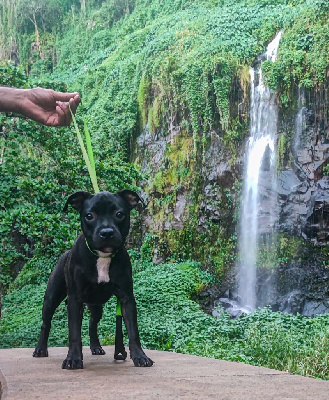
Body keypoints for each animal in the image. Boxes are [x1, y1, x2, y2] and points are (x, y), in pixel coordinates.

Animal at [32, 190, 152, 368]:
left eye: (119, 214)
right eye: (89, 215)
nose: (107, 232)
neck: (102, 256)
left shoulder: (127, 298)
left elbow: (133, 331)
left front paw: (140, 356)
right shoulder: (75, 300)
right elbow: (74, 333)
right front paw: (73, 359)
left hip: (96, 306)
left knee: (92, 324)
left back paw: (96, 347)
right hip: (51, 299)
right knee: (46, 323)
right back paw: (40, 349)